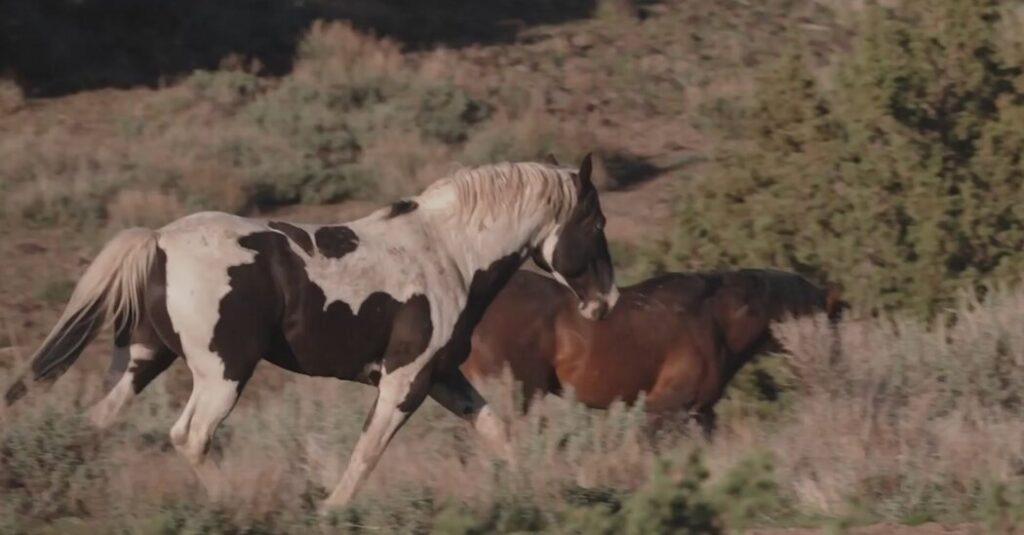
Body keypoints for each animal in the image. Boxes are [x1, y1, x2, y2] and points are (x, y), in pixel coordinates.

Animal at [3, 154, 619, 511]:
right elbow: (367, 452)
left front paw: (536, 494)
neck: (449, 254)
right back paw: (232, 508)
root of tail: (158, 242)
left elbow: (496, 431)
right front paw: (330, 512)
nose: (606, 303)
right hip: (223, 374)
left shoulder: (441, 375)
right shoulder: (406, 380)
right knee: (191, 436)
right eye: (595, 223)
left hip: (143, 359)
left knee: (98, 422)